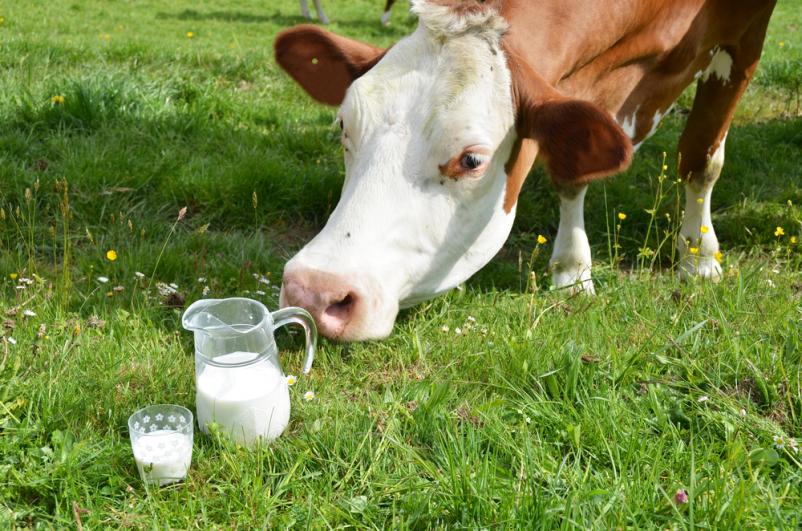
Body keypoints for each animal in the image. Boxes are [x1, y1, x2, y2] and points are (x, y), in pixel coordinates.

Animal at [274, 0, 776, 340]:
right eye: (344, 127)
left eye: (471, 160)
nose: (314, 291)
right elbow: (573, 173)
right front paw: (573, 270)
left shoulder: (746, 38)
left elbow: (702, 159)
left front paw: (698, 256)